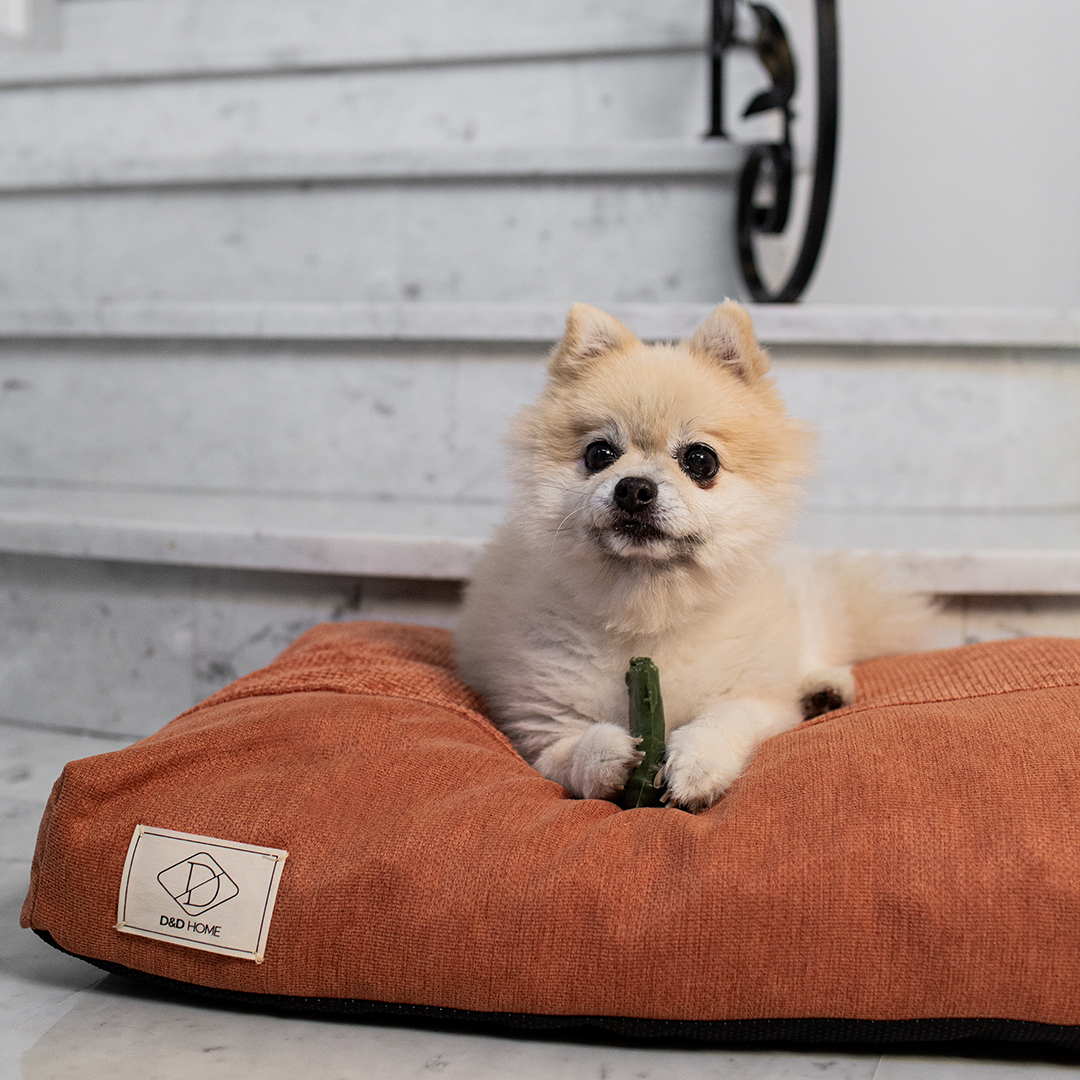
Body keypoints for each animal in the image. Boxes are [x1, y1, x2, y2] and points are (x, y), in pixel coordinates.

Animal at [451, 304, 933, 812]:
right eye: (599, 454)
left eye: (700, 460)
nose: (634, 488)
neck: (651, 610)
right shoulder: (540, 730)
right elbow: (574, 752)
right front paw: (606, 756)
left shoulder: (758, 700)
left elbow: (724, 721)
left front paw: (699, 766)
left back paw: (825, 689)